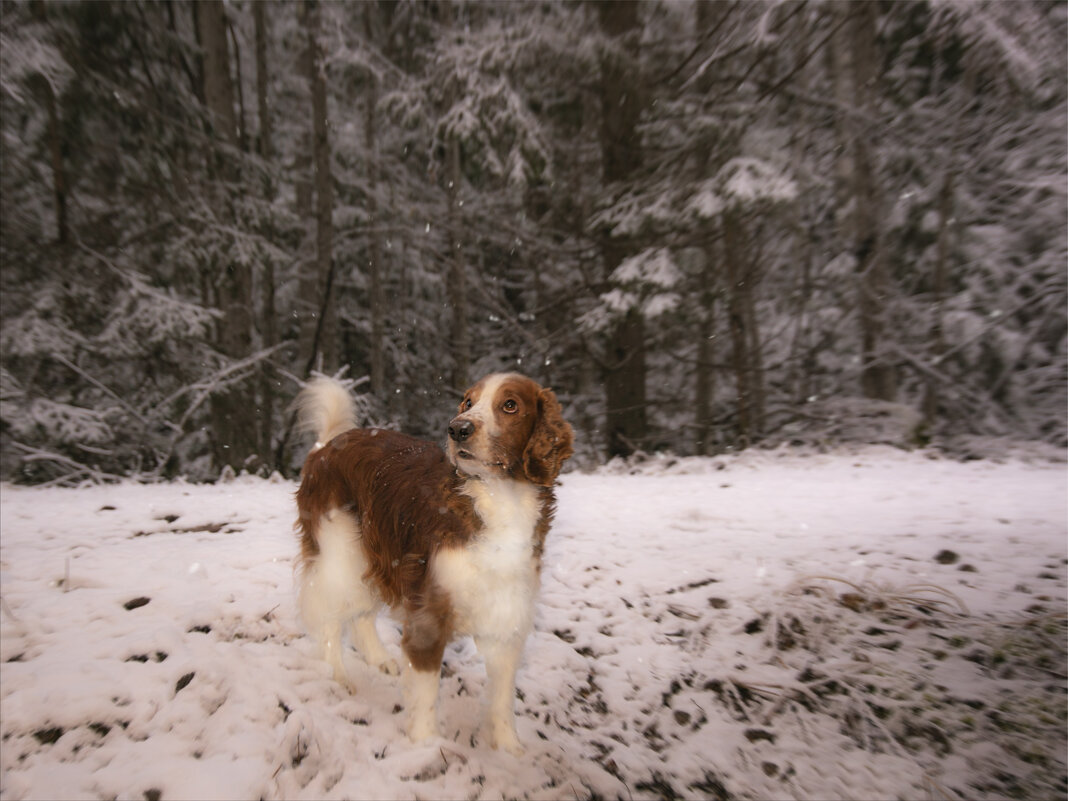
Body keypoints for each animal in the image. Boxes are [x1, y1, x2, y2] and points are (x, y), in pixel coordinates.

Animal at [292, 373, 576, 756]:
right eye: (468, 402)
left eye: (510, 405)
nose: (458, 428)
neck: (499, 499)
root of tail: (325, 447)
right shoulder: (429, 612)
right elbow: (426, 690)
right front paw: (425, 745)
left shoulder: (506, 611)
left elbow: (502, 696)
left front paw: (509, 749)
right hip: (340, 551)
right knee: (327, 616)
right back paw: (336, 675)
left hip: (373, 553)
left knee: (362, 612)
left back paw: (379, 659)